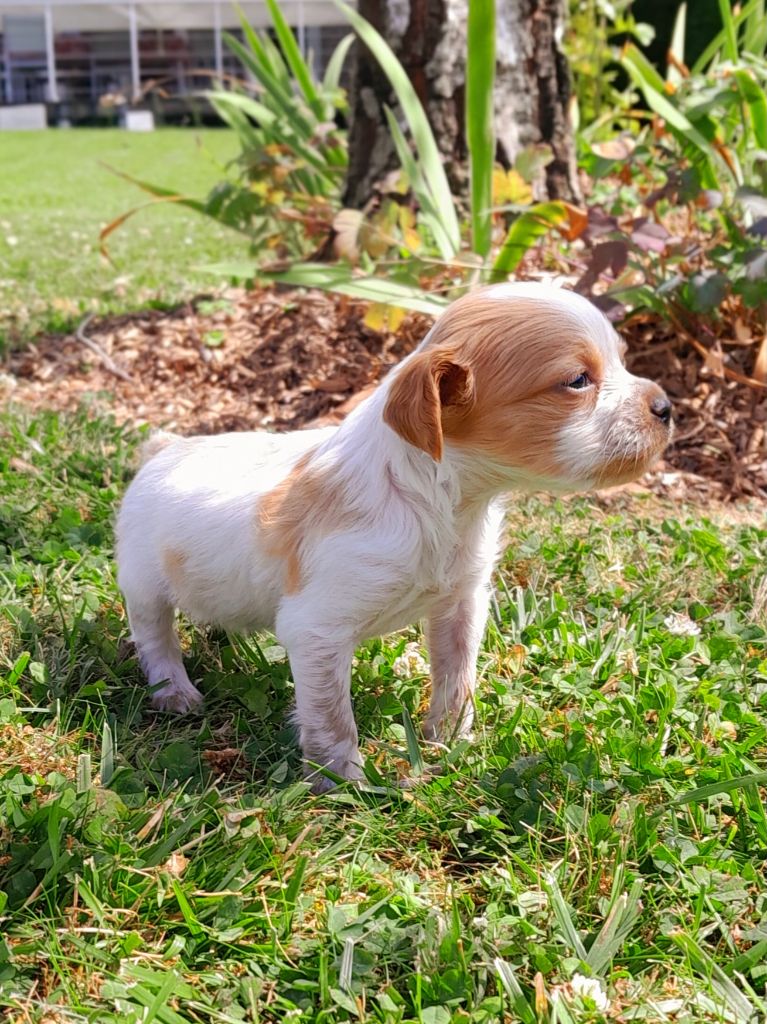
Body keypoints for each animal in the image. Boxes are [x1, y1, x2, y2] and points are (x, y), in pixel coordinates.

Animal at [116, 283, 672, 790]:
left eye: (622, 362)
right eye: (577, 380)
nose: (666, 406)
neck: (447, 504)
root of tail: (165, 449)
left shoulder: (461, 603)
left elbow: (456, 679)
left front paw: (450, 743)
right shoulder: (317, 629)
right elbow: (331, 718)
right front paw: (344, 784)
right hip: (143, 584)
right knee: (156, 638)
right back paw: (175, 691)